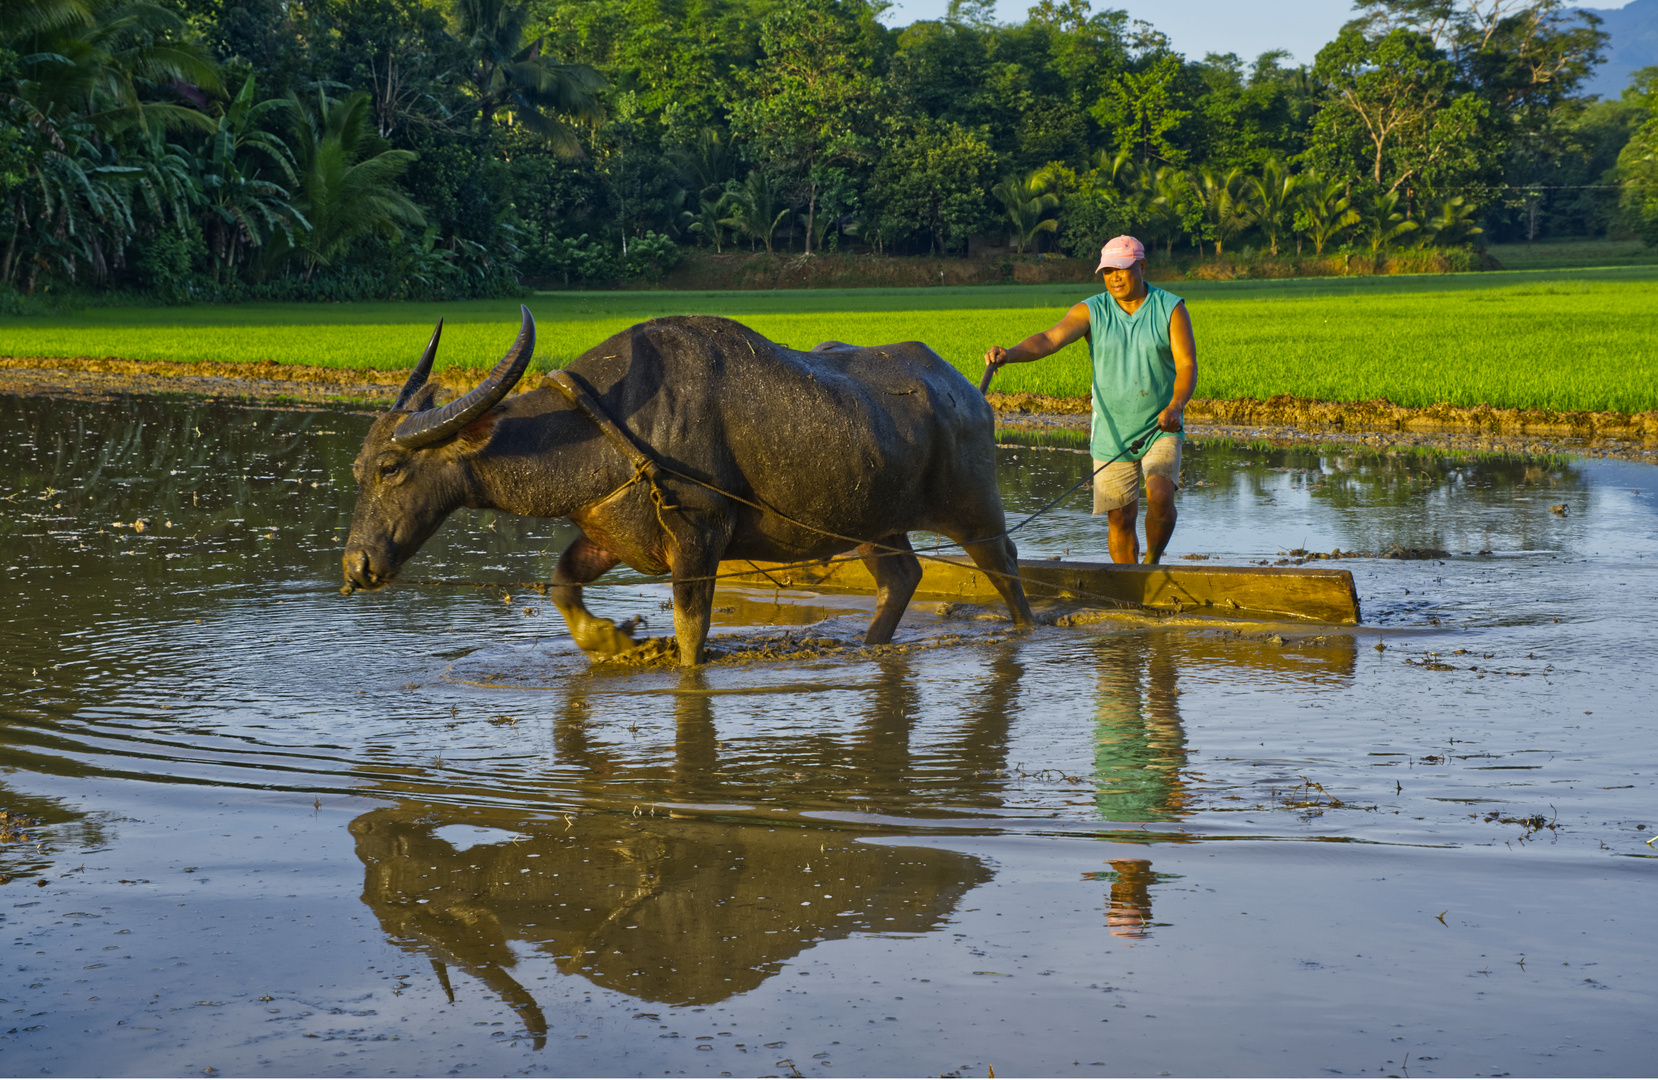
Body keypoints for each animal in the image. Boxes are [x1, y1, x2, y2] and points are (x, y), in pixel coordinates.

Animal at [341, 306, 1027, 666]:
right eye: (358, 468)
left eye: (390, 468)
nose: (356, 566)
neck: (602, 429)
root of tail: (966, 391)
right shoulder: (608, 532)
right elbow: (561, 582)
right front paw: (610, 638)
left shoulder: (699, 538)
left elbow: (693, 637)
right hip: (869, 524)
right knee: (902, 576)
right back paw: (869, 643)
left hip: (973, 510)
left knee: (1006, 564)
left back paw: (1025, 629)